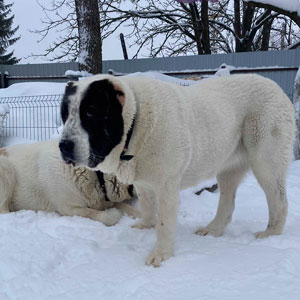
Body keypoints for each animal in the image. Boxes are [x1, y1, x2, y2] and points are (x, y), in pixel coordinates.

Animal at [59, 75, 296, 268]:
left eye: (90, 113)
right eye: (65, 115)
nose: (64, 146)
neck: (136, 120)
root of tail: (277, 88)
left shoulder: (166, 186)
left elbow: (164, 223)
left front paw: (160, 255)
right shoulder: (143, 182)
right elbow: (147, 206)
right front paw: (146, 226)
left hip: (265, 161)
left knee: (279, 200)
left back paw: (270, 233)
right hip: (228, 168)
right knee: (227, 202)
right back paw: (212, 230)